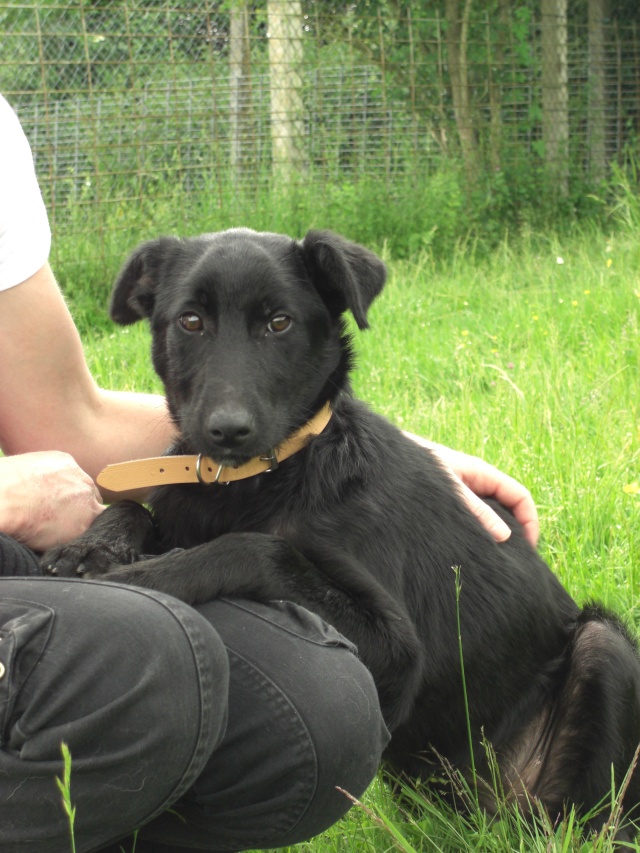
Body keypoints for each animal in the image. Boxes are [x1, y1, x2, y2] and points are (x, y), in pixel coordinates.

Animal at [43, 226, 640, 832]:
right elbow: (135, 509)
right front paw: (91, 548)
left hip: (603, 651)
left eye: (279, 322)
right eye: (190, 321)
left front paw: (152, 577)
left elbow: (259, 548)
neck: (257, 481)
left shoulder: (397, 653)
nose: (227, 431)